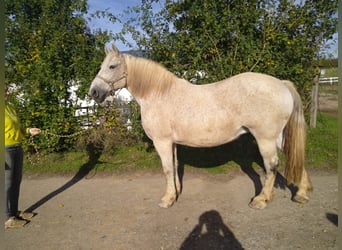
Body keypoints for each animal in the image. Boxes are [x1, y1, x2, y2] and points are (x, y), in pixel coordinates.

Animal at [89, 44, 312, 209]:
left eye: (112, 66)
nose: (94, 92)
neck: (159, 94)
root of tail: (281, 84)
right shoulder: (172, 143)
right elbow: (175, 166)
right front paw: (176, 193)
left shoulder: (162, 142)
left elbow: (167, 169)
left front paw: (167, 200)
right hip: (278, 136)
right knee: (294, 155)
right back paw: (301, 193)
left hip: (265, 138)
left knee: (271, 166)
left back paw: (261, 200)